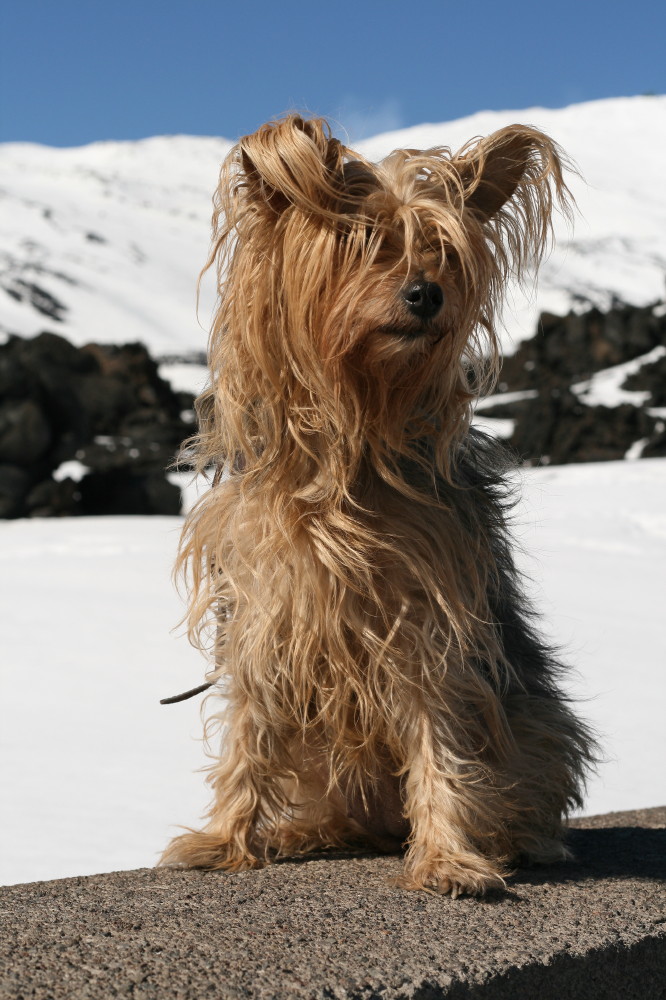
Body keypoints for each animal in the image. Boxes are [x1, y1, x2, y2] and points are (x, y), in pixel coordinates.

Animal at [162, 113, 596, 896]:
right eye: (362, 242)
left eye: (443, 252)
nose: (426, 294)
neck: (351, 451)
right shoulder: (264, 612)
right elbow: (250, 732)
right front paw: (224, 838)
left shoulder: (427, 618)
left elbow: (438, 737)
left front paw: (450, 856)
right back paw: (306, 830)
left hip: (535, 726)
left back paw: (509, 841)